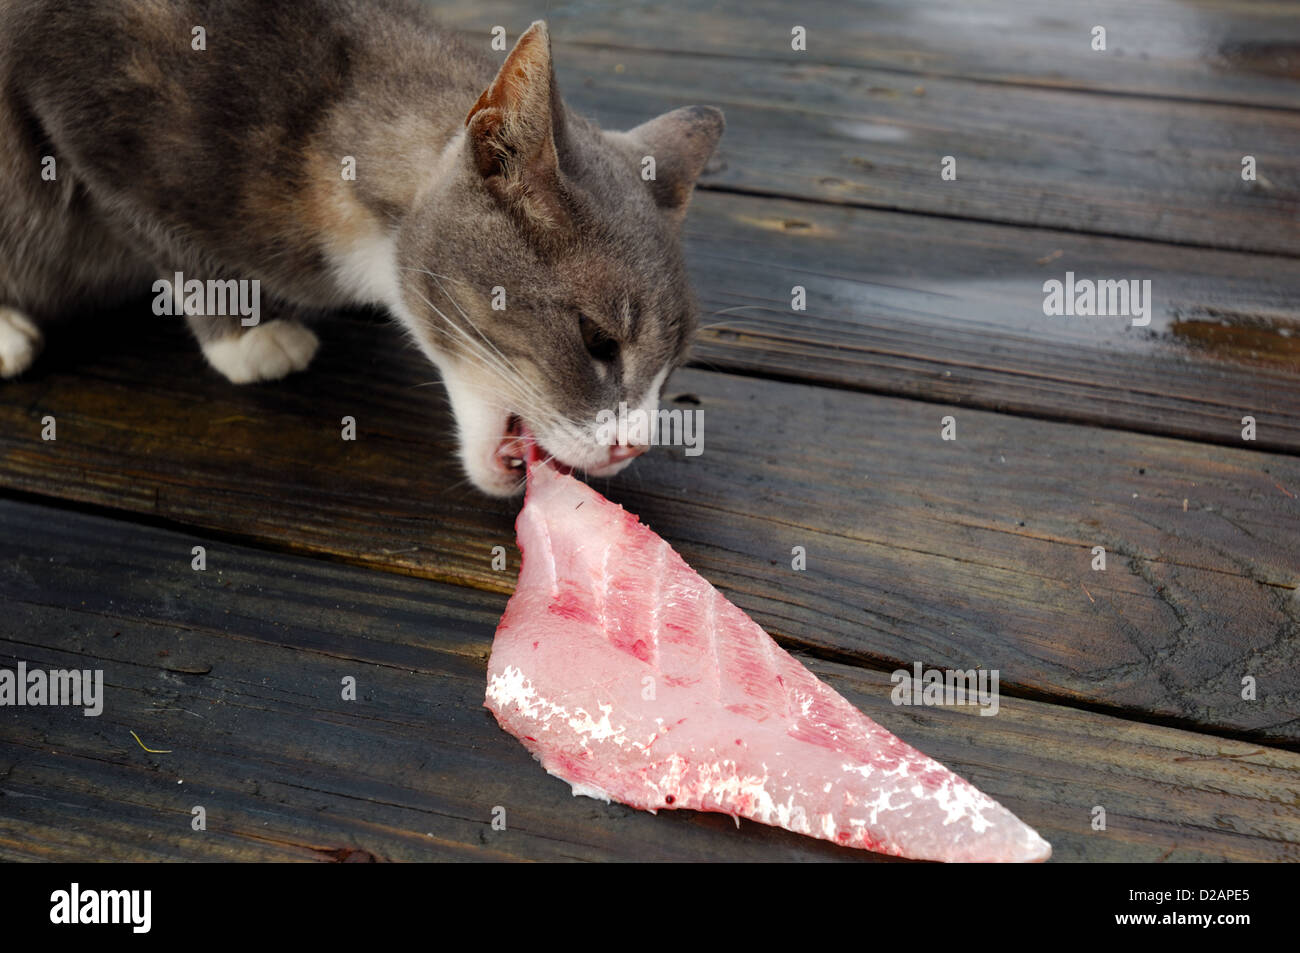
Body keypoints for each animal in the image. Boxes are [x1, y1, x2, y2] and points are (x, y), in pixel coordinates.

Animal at [0, 5, 722, 499]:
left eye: (671, 372)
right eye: (597, 339)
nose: (633, 447)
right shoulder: (75, 97)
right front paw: (246, 335)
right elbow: (156, 229)